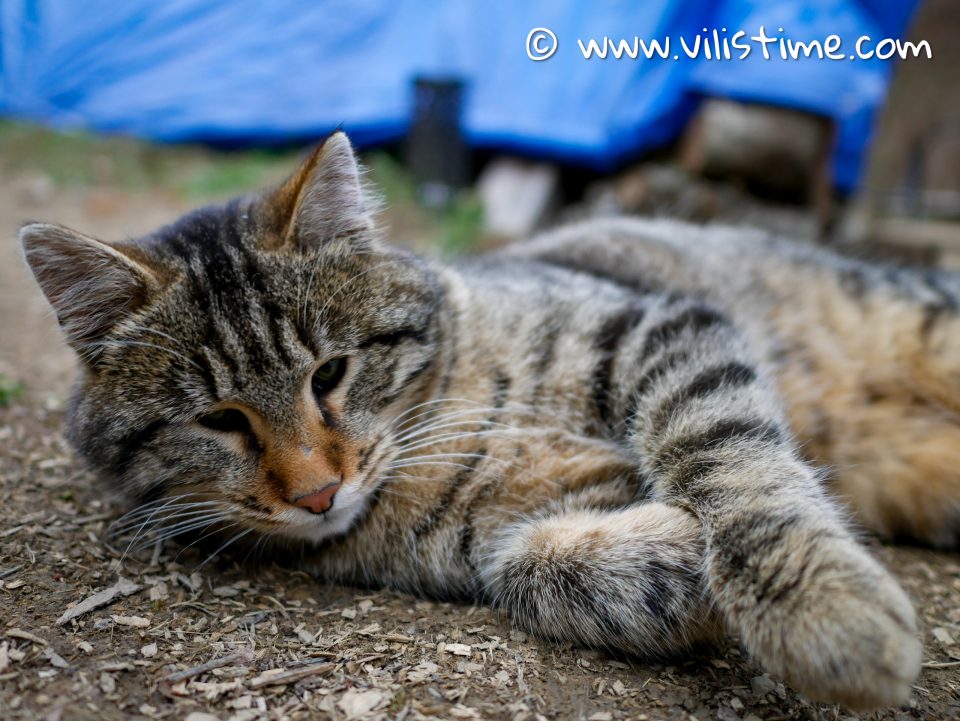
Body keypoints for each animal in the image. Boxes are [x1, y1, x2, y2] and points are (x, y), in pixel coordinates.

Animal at [22, 134, 960, 708]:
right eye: (220, 419)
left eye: (331, 373)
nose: (318, 493)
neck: (445, 421)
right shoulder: (496, 539)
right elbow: (544, 568)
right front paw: (674, 554)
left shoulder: (662, 329)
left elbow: (732, 463)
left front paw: (825, 607)